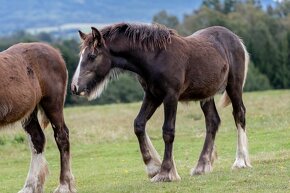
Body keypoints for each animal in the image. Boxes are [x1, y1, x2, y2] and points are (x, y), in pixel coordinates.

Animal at [0, 42, 76, 193]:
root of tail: (56, 52)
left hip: (52, 104)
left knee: (62, 136)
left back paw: (64, 185)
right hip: (30, 111)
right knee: (37, 140)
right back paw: (30, 187)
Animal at [70, 23, 251, 182]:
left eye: (92, 56)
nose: (74, 87)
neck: (154, 57)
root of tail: (235, 38)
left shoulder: (170, 96)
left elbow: (168, 131)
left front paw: (165, 173)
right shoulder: (152, 96)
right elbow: (139, 124)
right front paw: (153, 167)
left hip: (233, 86)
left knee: (239, 114)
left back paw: (241, 161)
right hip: (206, 95)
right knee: (212, 122)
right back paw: (201, 166)